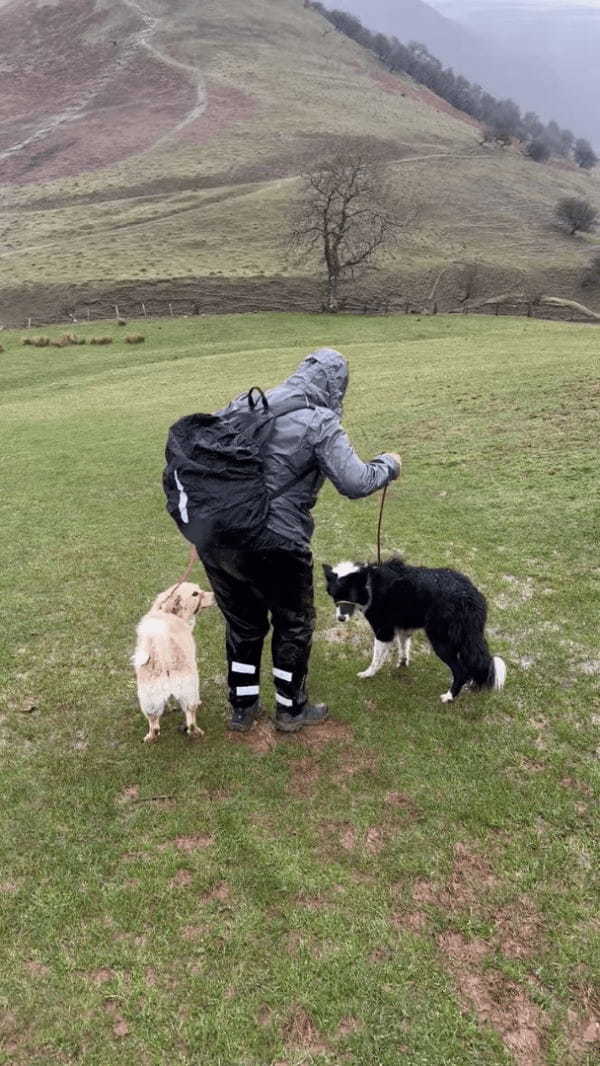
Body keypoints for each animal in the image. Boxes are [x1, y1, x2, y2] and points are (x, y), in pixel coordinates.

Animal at [133, 584, 216, 741]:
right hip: (189, 685)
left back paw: (151, 737)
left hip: (148, 693)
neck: (167, 611)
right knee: (190, 715)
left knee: (153, 722)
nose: (215, 595)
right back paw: (196, 732)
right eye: (195, 594)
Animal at [323, 558, 507, 699]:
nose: (340, 618)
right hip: (465, 638)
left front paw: (368, 674)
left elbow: (376, 658)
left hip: (442, 641)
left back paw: (449, 696)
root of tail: (470, 596)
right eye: (335, 596)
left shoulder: (383, 632)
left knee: (461, 670)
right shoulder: (403, 628)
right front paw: (402, 663)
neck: (368, 584)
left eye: (350, 596)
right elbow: (404, 647)